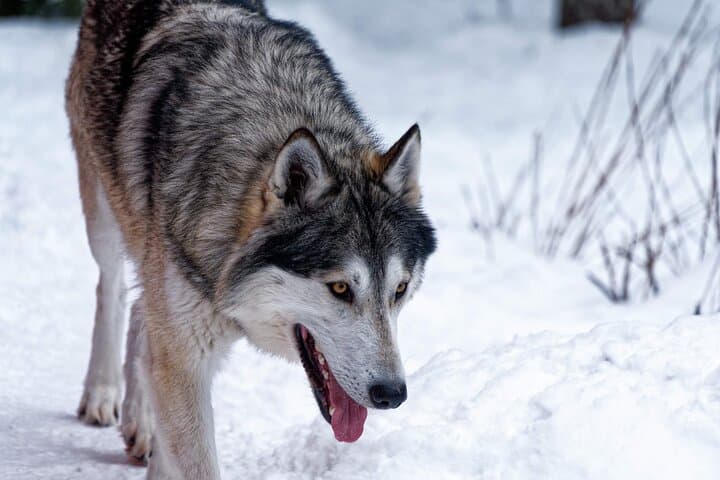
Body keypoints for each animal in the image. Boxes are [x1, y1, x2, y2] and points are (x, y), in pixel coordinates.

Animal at [65, 0, 436, 478]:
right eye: (340, 288)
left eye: (400, 289)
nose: (391, 394)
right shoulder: (185, 357)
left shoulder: (178, 349)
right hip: (105, 220)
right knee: (111, 289)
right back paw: (102, 393)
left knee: (140, 313)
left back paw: (141, 423)